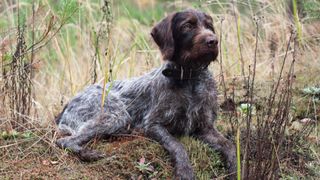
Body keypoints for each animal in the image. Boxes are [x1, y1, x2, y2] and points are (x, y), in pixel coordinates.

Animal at [55, 8, 236, 180]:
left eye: (209, 26)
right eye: (187, 26)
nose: (213, 41)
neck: (189, 78)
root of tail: (70, 102)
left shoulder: (205, 128)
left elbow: (229, 146)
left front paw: (235, 168)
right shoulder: (152, 125)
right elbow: (177, 145)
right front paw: (185, 170)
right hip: (115, 115)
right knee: (63, 141)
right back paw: (89, 153)